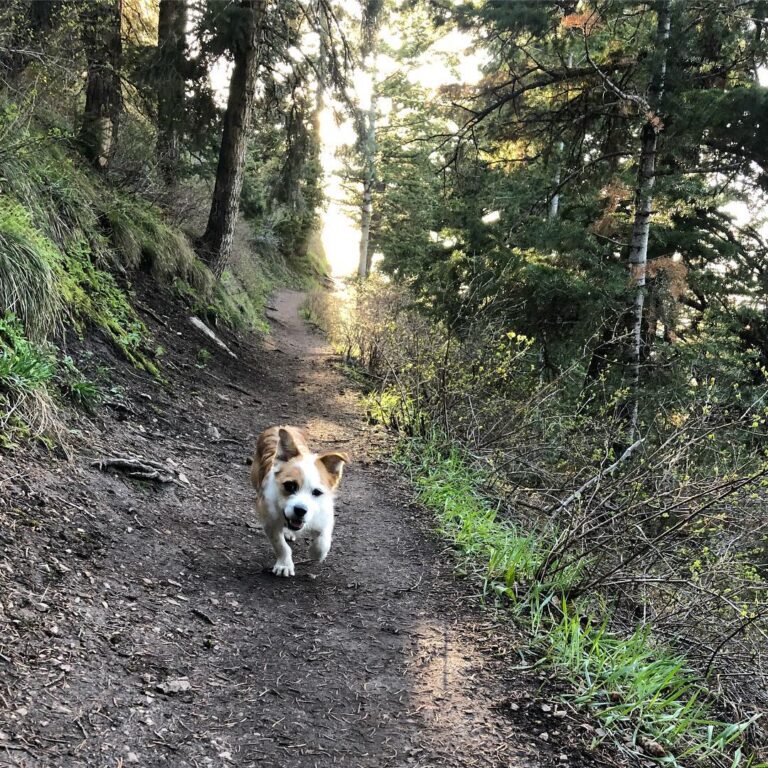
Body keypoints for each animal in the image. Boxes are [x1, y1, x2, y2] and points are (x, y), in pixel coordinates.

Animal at [250, 426, 350, 576]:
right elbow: (280, 545)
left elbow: (323, 541)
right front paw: (284, 564)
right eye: (290, 486)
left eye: (317, 492)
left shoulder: (325, 517)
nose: (300, 510)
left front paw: (316, 553)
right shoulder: (269, 521)